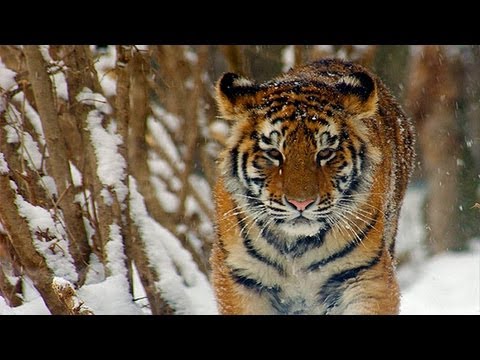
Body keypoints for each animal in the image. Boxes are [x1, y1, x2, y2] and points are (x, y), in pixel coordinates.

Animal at [211, 57, 416, 314]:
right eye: (274, 153)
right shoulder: (242, 278)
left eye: (325, 153)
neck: (296, 247)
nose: (301, 203)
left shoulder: (365, 274)